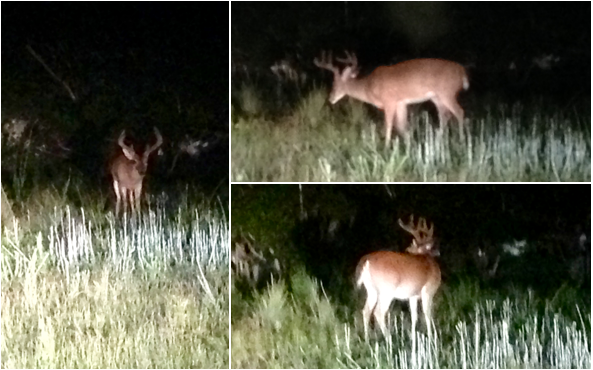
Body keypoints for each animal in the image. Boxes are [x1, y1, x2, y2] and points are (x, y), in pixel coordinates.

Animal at [312, 52, 470, 145]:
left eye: (335, 83)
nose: (330, 98)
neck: (369, 87)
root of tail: (462, 71)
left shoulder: (389, 101)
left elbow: (388, 125)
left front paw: (386, 147)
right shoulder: (400, 103)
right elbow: (402, 126)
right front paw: (409, 146)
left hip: (447, 93)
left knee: (459, 112)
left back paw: (462, 141)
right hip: (437, 98)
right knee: (445, 115)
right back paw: (439, 141)